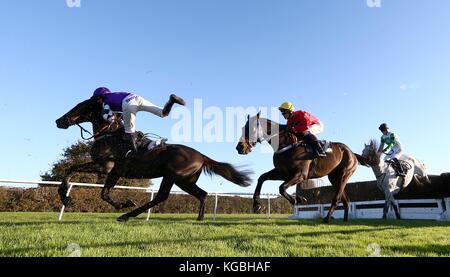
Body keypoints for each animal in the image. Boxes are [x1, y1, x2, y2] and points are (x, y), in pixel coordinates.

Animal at [54, 97, 251, 220]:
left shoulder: (107, 167)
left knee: (161, 197)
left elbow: (89, 183)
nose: (59, 121)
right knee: (202, 194)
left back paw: (126, 216)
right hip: (184, 181)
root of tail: (201, 155)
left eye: (80, 107)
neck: (110, 135)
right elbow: (88, 181)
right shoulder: (109, 169)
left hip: (172, 175)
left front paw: (123, 204)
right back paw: (199, 219)